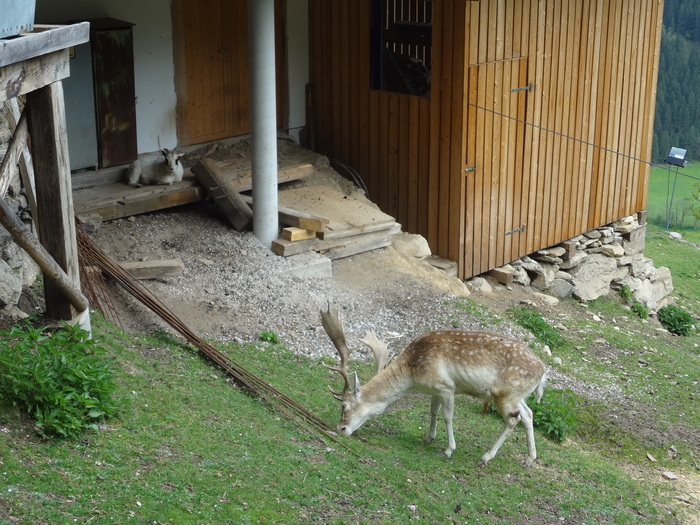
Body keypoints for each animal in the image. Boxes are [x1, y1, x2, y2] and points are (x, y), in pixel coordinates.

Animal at [322, 302, 548, 466]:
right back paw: (529, 459)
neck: (413, 374)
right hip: (517, 395)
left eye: (343, 406)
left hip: (504, 395)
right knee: (528, 414)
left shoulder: (447, 387)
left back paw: (485, 457)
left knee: (513, 420)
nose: (340, 429)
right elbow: (433, 412)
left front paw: (448, 449)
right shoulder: (434, 390)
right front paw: (428, 438)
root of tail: (543, 372)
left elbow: (448, 417)